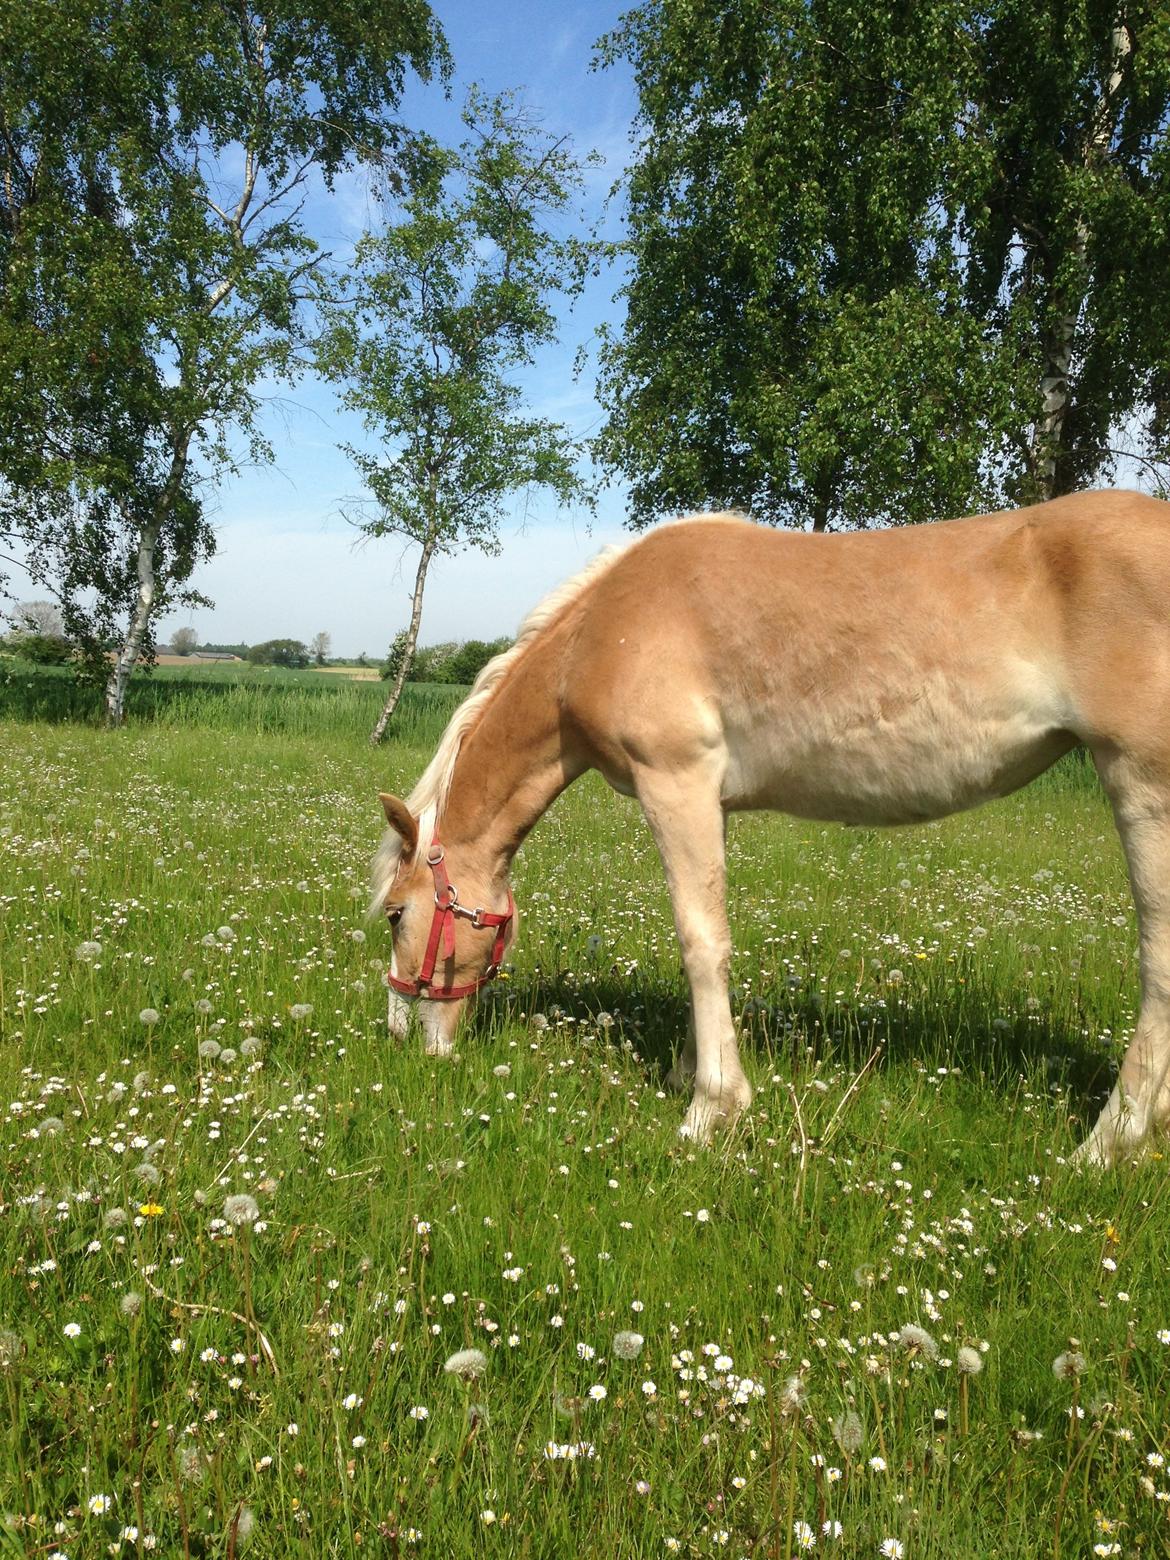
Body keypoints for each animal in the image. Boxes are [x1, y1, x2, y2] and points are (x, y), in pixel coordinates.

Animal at [371, 492, 1170, 1166]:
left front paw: (710, 1109)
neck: (601, 632)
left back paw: (1107, 1145)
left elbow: (701, 943)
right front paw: (691, 1070)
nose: (404, 1036)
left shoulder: (676, 782)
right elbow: (706, 937)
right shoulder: (708, 803)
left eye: (397, 915)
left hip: (1144, 785)